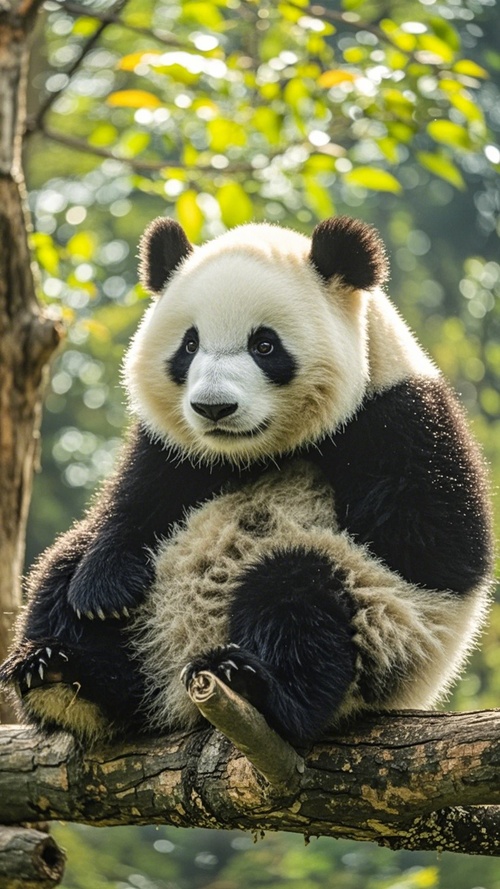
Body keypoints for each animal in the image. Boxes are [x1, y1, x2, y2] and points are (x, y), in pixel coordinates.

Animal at [0, 215, 492, 744]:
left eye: (265, 345)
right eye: (189, 344)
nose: (213, 408)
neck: (255, 453)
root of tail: (174, 696)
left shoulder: (402, 420)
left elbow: (433, 552)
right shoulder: (171, 449)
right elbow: (134, 503)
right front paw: (102, 592)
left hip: (384, 634)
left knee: (298, 593)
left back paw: (253, 683)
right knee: (62, 566)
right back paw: (60, 675)